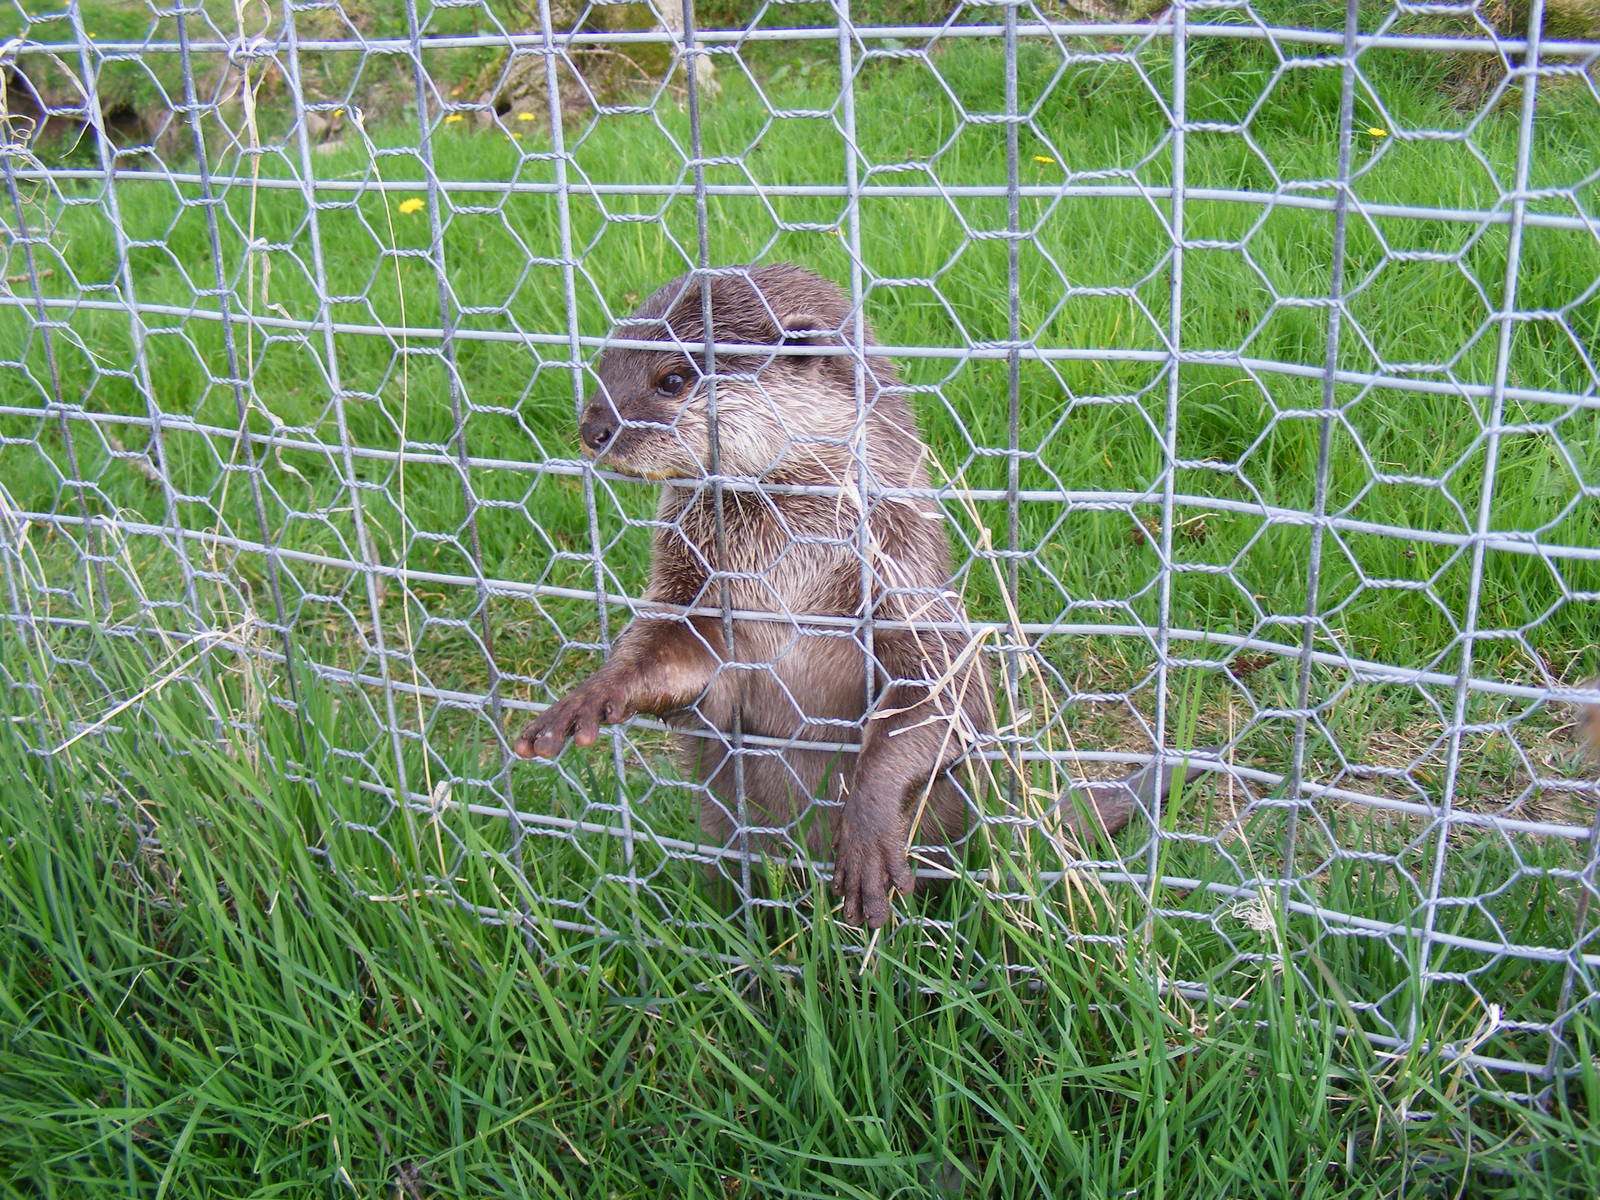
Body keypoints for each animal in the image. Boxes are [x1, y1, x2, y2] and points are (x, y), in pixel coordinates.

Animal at [513, 264, 1204, 928]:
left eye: (672, 379)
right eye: (603, 370)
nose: (593, 428)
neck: (791, 563)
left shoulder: (905, 578)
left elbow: (940, 699)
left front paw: (867, 836)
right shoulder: (694, 590)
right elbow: (673, 663)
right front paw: (587, 699)